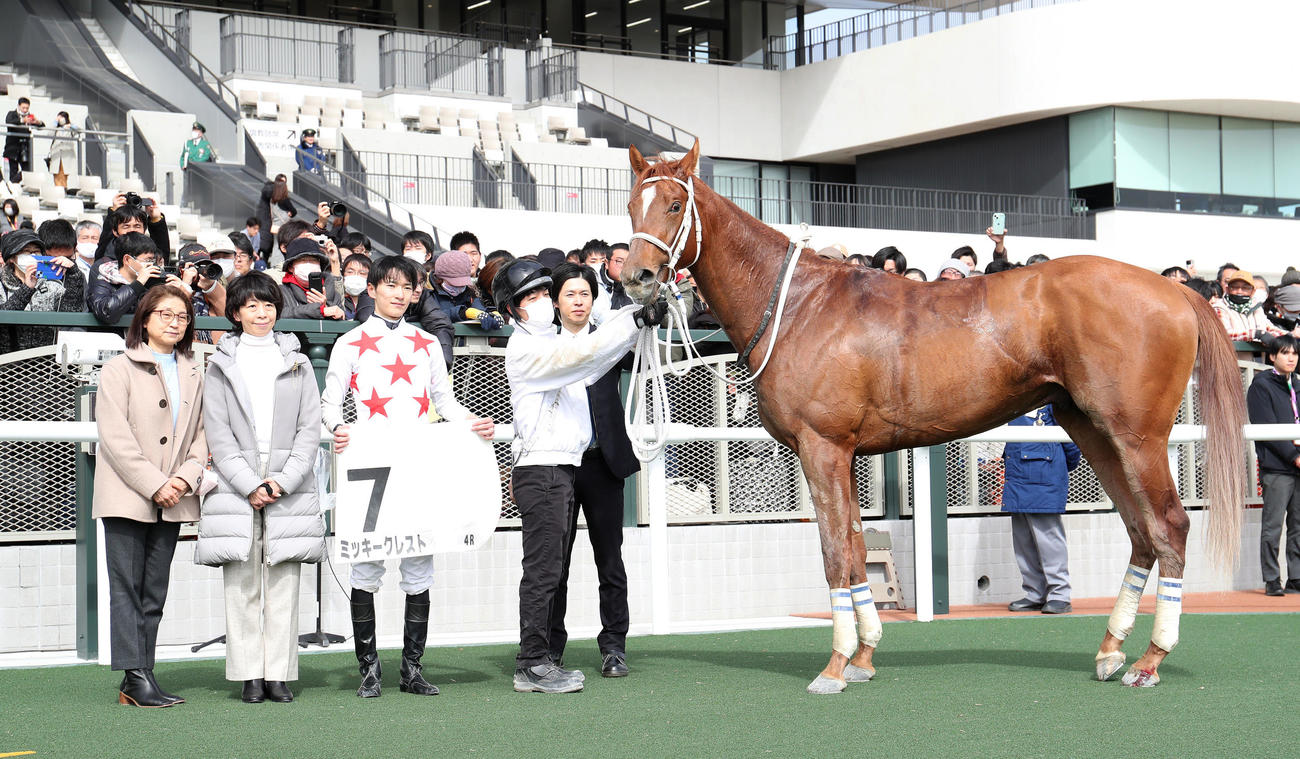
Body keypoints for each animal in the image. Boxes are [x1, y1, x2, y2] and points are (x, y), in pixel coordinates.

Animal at [620, 140, 1246, 694]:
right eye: (631, 204)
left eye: (673, 204)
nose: (636, 278)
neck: (798, 305)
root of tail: (1172, 290)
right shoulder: (846, 455)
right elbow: (855, 550)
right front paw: (864, 656)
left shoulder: (822, 448)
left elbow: (834, 555)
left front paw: (834, 666)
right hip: (1093, 431)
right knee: (1141, 532)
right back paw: (1112, 649)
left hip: (1137, 436)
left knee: (1170, 526)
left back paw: (1151, 659)